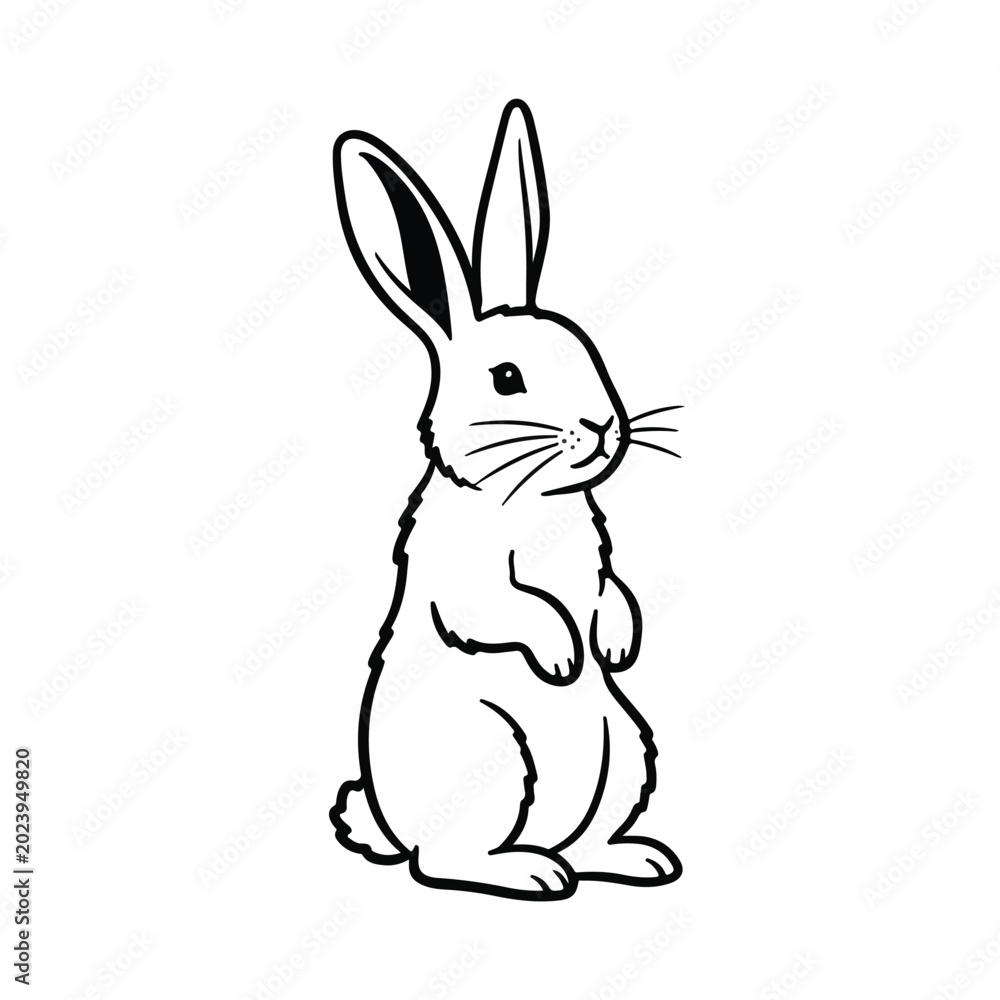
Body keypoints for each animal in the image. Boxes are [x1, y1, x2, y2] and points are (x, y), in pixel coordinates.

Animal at [330, 99, 682, 900]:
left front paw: (615, 641)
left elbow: (609, 590)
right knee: (442, 861)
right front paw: (565, 656)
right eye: (508, 378)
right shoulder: (465, 579)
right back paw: (531, 873)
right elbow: (504, 608)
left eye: (586, 350)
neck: (527, 494)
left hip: (624, 747)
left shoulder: (596, 564)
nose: (604, 428)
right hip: (496, 753)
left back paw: (634, 859)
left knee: (585, 840)